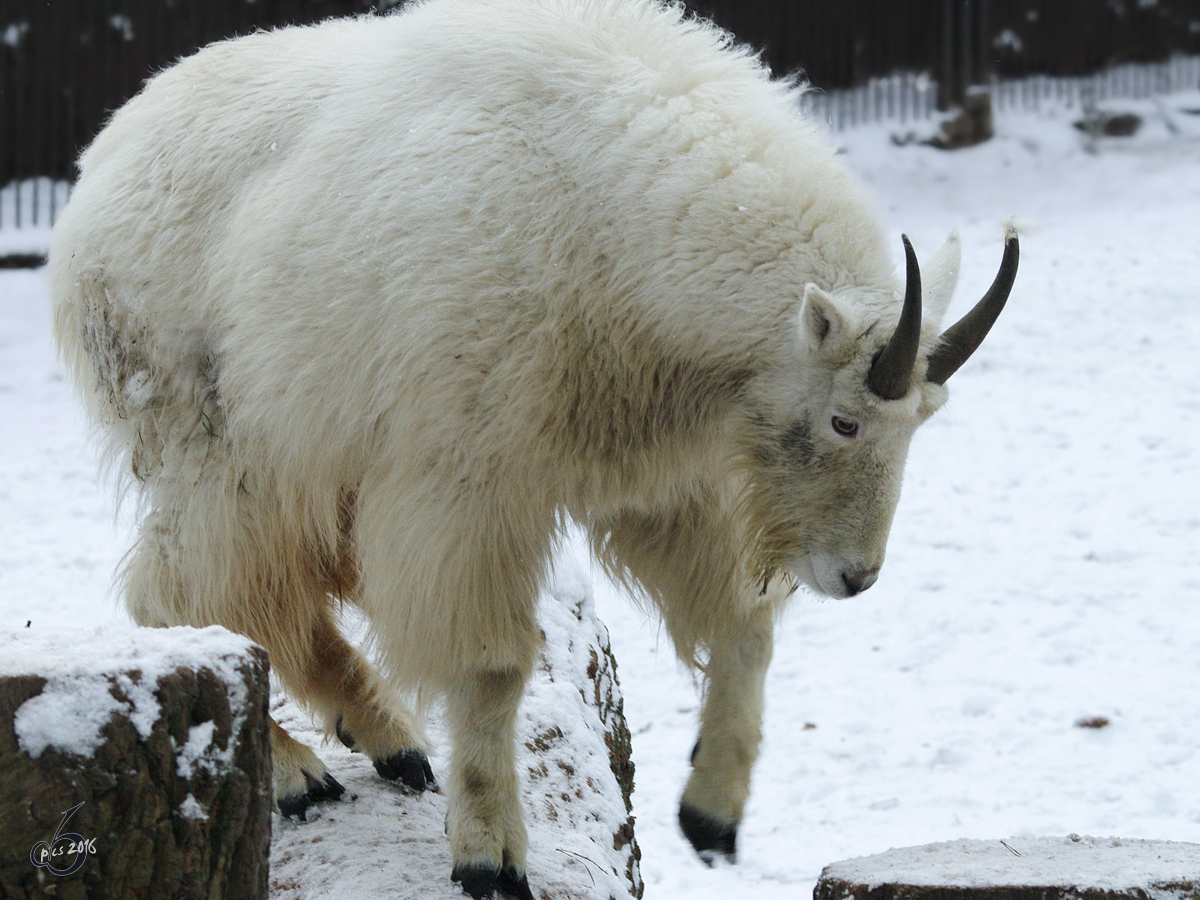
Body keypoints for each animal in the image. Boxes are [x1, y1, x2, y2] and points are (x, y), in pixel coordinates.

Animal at [51, 0, 1017, 897]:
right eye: (845, 421)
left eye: (926, 419)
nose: (855, 576)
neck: (616, 225)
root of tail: (97, 170)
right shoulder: (463, 484)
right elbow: (490, 666)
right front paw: (492, 856)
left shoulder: (664, 485)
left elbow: (742, 627)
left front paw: (711, 812)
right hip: (222, 442)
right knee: (186, 590)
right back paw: (299, 773)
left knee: (271, 589)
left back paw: (389, 740)